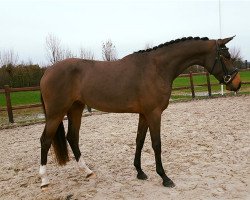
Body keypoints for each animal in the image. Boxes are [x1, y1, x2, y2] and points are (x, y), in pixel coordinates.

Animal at [39, 36, 240, 189]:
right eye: (226, 57)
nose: (237, 84)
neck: (157, 68)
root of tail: (47, 72)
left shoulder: (144, 114)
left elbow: (139, 141)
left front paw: (140, 172)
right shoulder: (154, 113)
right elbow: (156, 144)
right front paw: (164, 177)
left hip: (76, 108)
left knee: (72, 137)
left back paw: (87, 172)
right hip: (56, 113)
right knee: (45, 140)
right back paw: (44, 180)